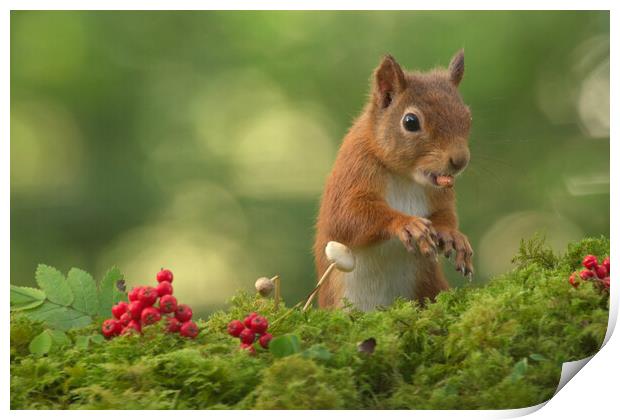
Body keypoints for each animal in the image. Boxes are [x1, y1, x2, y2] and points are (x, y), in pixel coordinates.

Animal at [314, 50, 474, 310]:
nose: (460, 160)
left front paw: (452, 234)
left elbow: (445, 214)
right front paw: (406, 223)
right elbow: (345, 217)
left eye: (468, 116)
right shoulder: (352, 171)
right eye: (410, 122)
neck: (405, 177)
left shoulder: (439, 191)